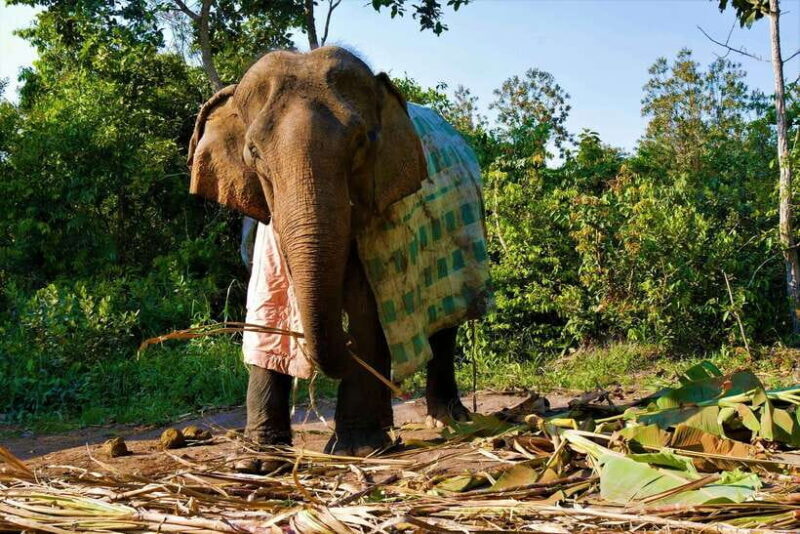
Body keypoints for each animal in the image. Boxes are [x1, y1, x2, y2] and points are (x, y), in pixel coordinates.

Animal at [187, 46, 479, 462]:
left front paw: (358, 448)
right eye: (253, 152)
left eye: (360, 144)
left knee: (445, 322)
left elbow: (366, 308)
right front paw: (260, 456)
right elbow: (266, 309)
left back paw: (447, 420)